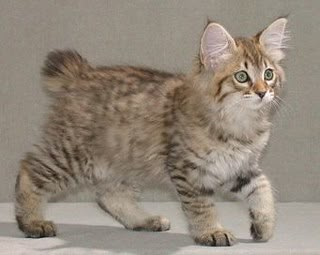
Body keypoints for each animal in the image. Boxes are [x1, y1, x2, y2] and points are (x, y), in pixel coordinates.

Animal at [15, 18, 288, 246]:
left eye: (268, 74)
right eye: (242, 76)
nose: (263, 92)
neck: (239, 123)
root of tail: (81, 74)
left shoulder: (240, 167)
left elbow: (263, 189)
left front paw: (264, 225)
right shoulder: (189, 170)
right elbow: (202, 206)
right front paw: (211, 231)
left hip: (123, 160)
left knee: (107, 195)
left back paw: (143, 221)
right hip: (71, 155)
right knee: (29, 169)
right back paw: (31, 222)